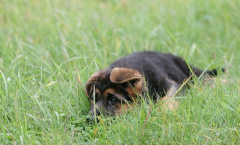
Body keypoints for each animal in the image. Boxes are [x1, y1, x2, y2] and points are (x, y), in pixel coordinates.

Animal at [85, 51, 224, 120]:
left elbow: (166, 100)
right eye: (93, 99)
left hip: (192, 74)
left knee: (206, 79)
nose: (89, 119)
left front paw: (162, 112)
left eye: (113, 100)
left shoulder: (173, 86)